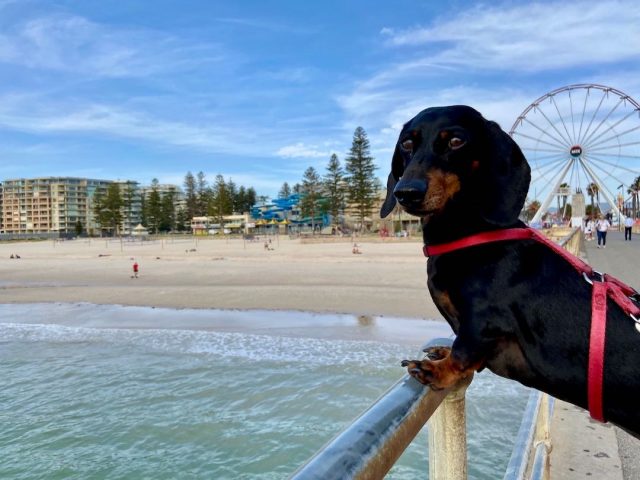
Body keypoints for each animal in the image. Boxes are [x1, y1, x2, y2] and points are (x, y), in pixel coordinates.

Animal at [380, 105, 640, 438]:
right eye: (407, 144)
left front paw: (439, 369)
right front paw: (441, 353)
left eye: (455, 141)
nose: (406, 192)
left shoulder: (482, 320)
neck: (474, 234)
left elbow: (463, 351)